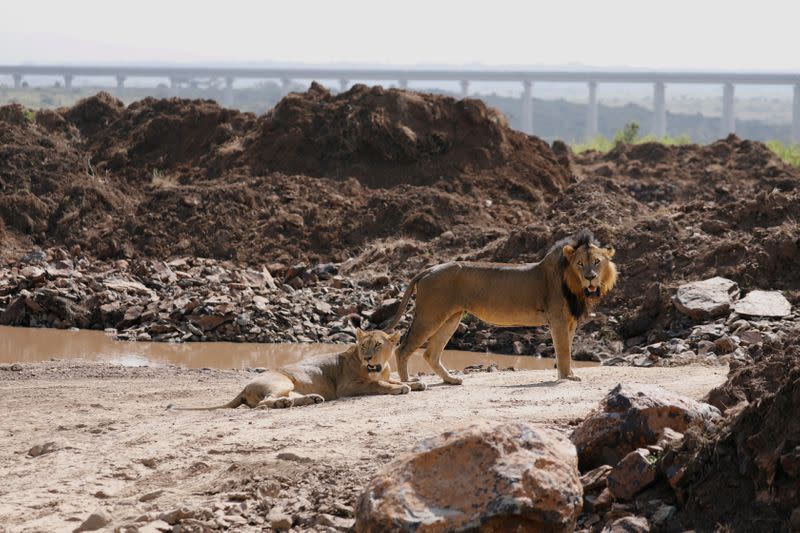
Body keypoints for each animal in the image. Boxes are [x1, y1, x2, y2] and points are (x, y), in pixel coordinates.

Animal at [168, 328, 424, 412]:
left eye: (378, 345)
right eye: (363, 346)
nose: (368, 357)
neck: (379, 367)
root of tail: (244, 386)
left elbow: (394, 380)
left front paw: (414, 382)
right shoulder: (347, 387)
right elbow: (378, 383)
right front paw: (401, 387)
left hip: (291, 387)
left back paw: (310, 399)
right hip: (283, 381)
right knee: (263, 403)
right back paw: (285, 403)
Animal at [384, 229, 616, 382]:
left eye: (597, 262)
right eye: (580, 264)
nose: (590, 278)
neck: (575, 285)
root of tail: (428, 270)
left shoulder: (570, 321)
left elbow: (565, 348)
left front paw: (566, 375)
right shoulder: (557, 318)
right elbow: (563, 350)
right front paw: (568, 377)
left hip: (451, 318)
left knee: (430, 353)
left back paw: (451, 380)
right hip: (430, 315)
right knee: (403, 348)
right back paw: (409, 382)